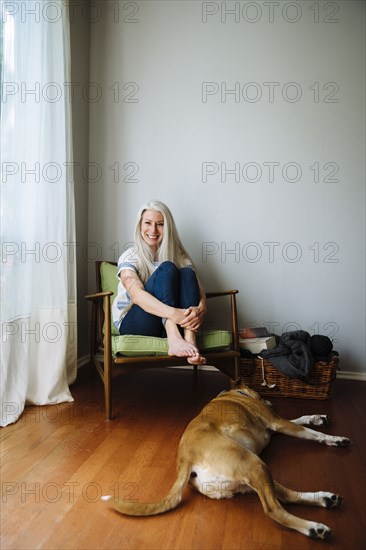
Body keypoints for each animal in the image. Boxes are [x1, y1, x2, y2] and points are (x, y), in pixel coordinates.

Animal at [101, 384, 352, 540]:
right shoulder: (277, 423)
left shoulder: (276, 426)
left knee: (285, 496)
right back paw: (314, 529)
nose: (272, 403)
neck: (236, 392)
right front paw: (334, 438)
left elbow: (301, 419)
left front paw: (318, 418)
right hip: (255, 465)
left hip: (256, 472)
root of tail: (186, 459)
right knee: (274, 509)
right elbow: (310, 432)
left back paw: (324, 499)